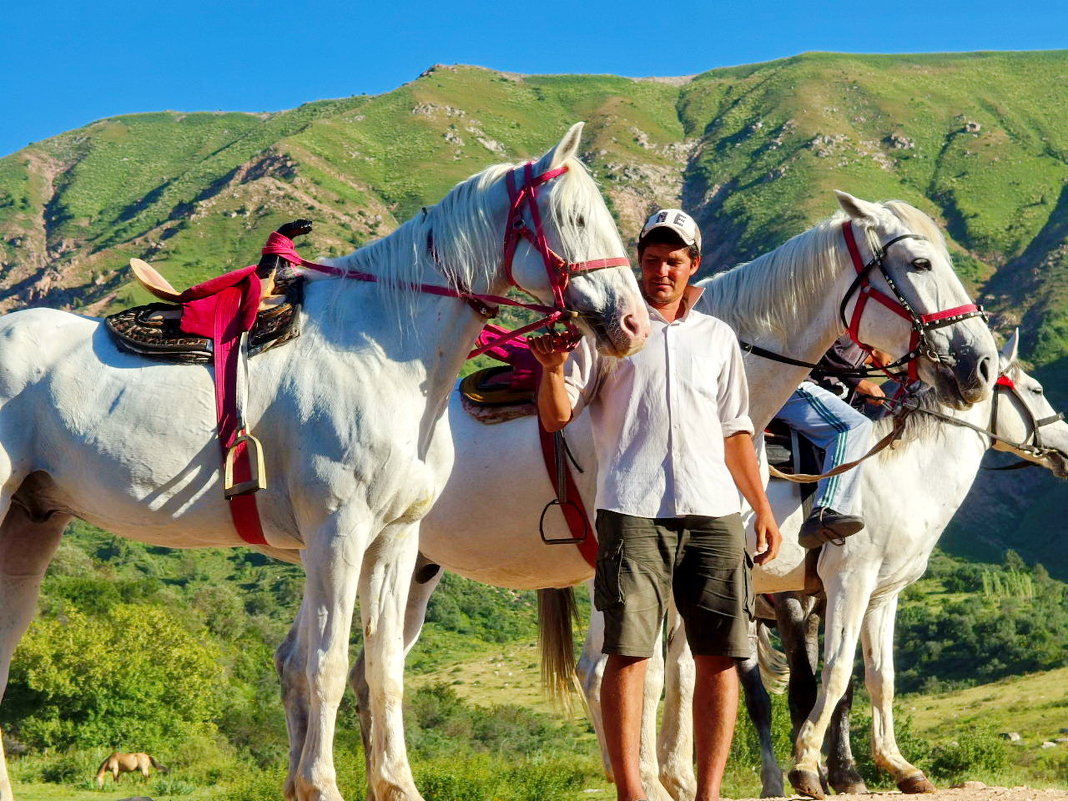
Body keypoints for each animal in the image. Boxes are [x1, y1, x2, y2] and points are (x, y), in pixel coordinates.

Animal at [0, 125, 645, 801]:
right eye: (574, 218)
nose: (633, 323)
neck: (381, 351)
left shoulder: (395, 542)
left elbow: (383, 671)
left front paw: (395, 784)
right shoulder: (339, 533)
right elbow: (327, 667)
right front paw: (321, 785)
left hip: (32, 522)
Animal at [350, 191, 999, 798]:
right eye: (919, 262)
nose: (982, 365)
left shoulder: (713, 561)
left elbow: (687, 675)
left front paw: (680, 778)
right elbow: (637, 674)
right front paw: (653, 777)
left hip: (413, 567)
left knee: (371, 672)